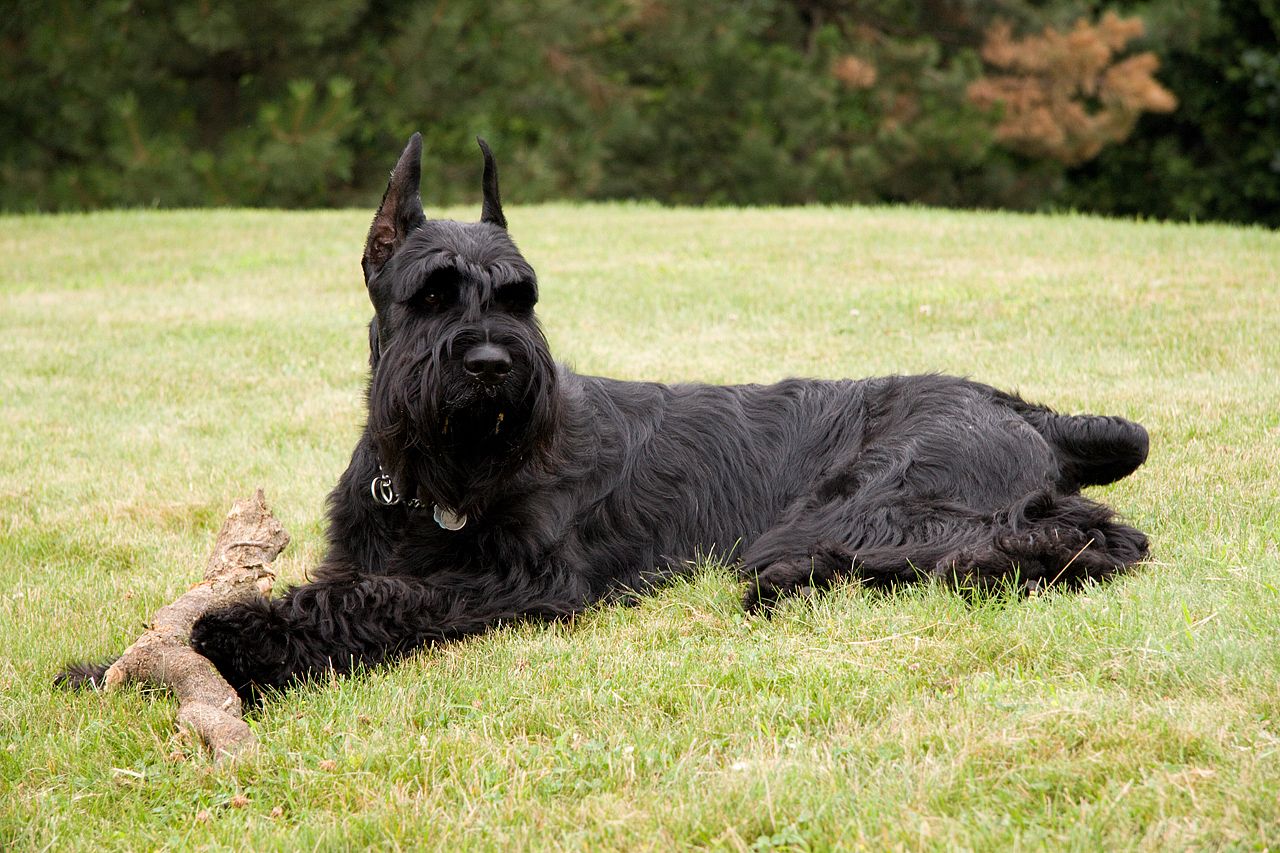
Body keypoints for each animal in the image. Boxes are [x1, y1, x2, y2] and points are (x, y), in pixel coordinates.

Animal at [57, 131, 1152, 691]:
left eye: (521, 295)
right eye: (432, 292)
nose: (494, 364)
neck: (434, 477)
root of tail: (1019, 407)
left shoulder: (515, 578)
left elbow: (371, 602)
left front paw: (232, 643)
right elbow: (342, 586)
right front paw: (109, 663)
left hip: (871, 507)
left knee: (1036, 546)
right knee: (1097, 532)